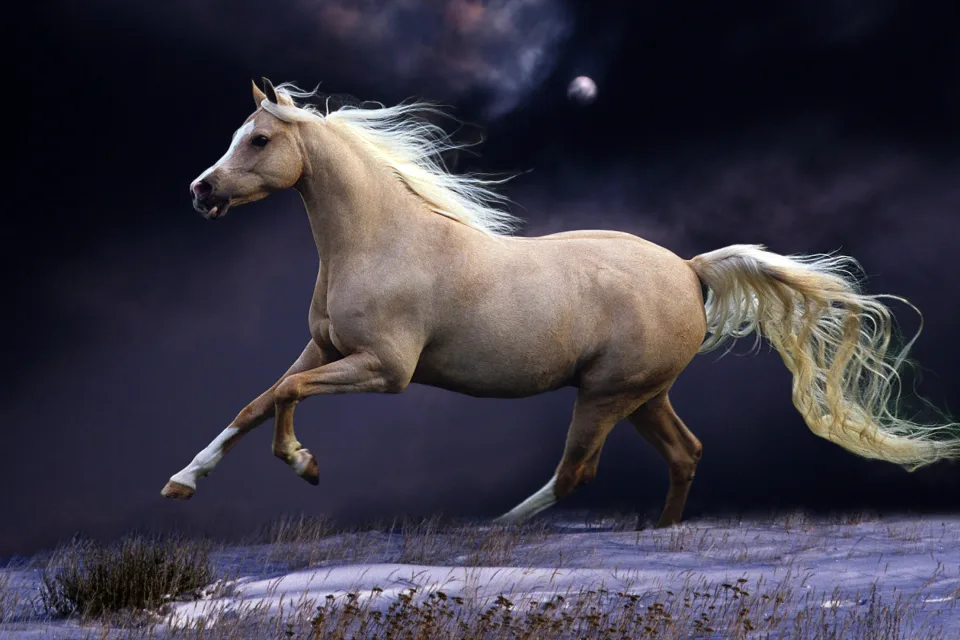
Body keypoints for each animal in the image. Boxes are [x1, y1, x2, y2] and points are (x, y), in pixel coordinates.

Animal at [161, 78, 959, 528]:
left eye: (259, 139)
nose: (200, 191)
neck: (383, 241)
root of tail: (691, 270)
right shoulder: (325, 348)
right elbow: (258, 399)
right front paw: (182, 482)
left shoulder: (383, 369)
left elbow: (285, 396)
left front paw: (304, 464)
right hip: (642, 394)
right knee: (686, 453)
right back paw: (659, 535)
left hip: (606, 395)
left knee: (578, 472)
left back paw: (490, 532)